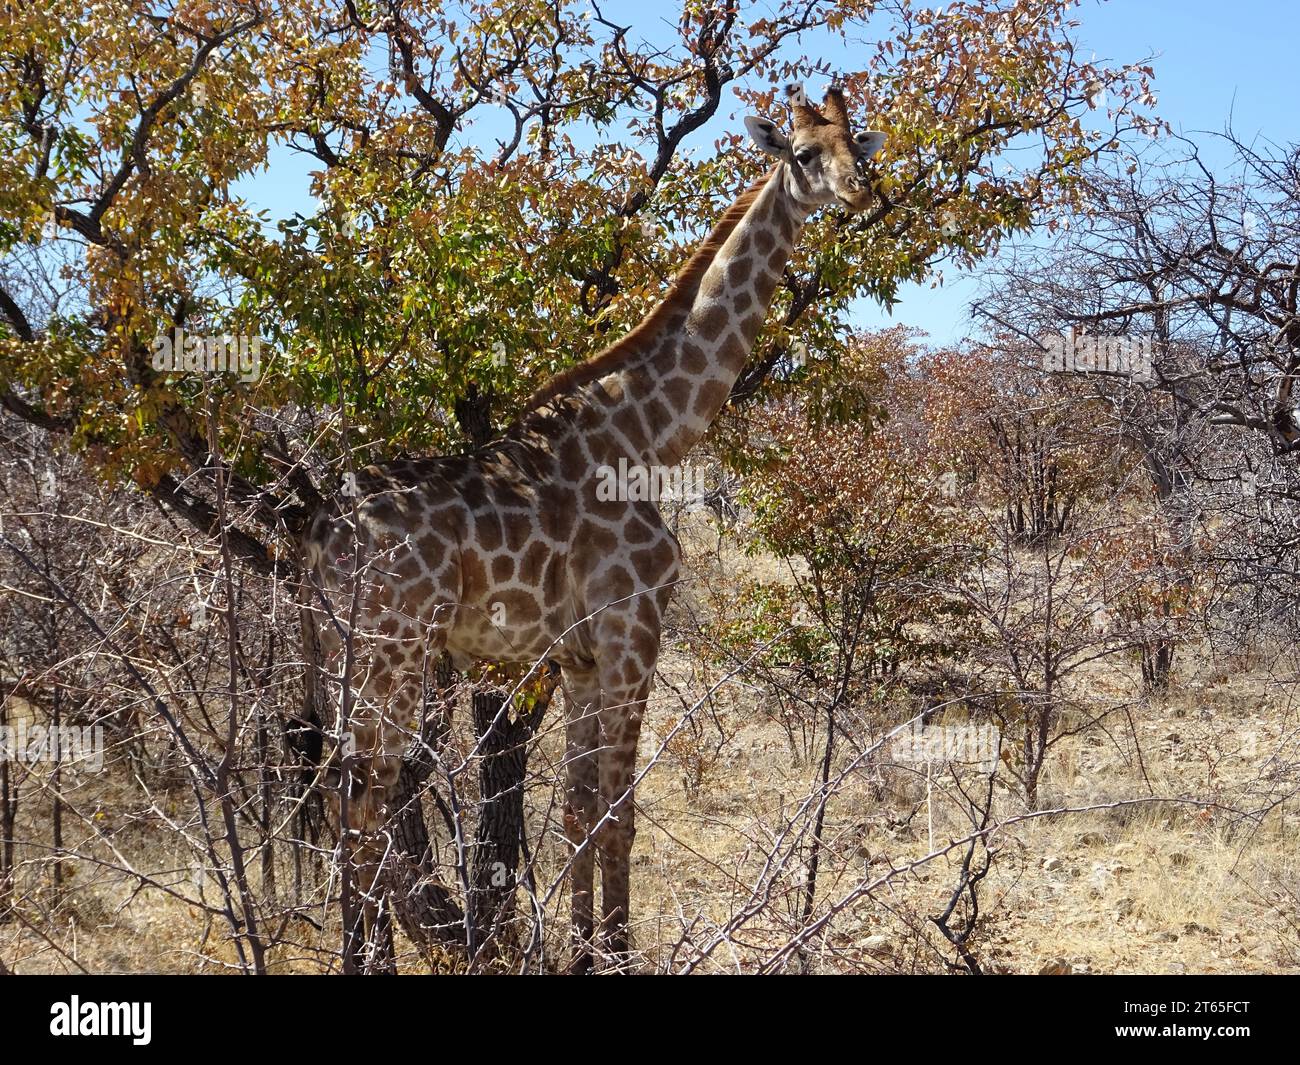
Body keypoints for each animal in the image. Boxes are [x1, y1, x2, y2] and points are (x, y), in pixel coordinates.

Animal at [303, 83, 887, 970]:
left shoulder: (577, 656)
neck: (651, 434)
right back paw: (366, 959)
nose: (863, 192)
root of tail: (321, 533)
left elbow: (580, 808)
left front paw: (581, 950)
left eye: (860, 142)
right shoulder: (634, 626)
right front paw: (615, 951)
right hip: (390, 652)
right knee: (364, 801)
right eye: (804, 153)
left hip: (352, 658)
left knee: (347, 795)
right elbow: (620, 810)